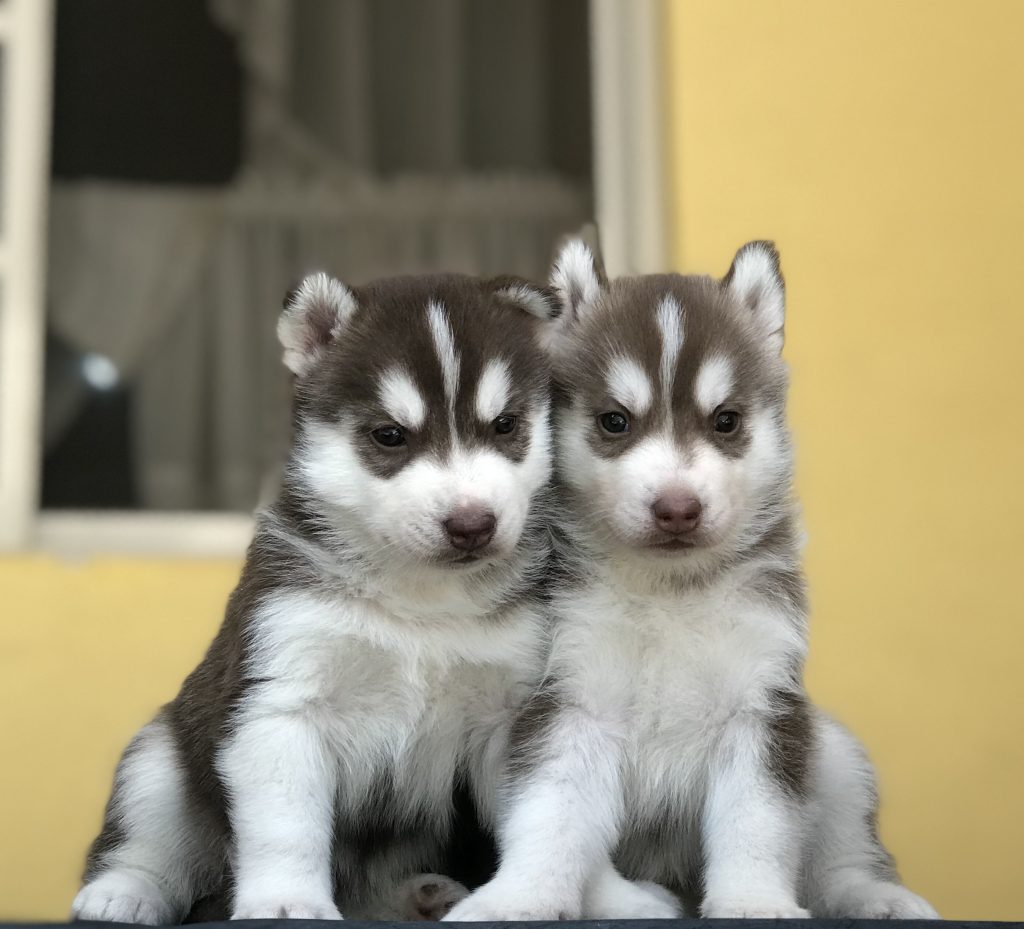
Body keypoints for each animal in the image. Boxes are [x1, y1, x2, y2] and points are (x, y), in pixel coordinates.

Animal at [74, 268, 561, 921]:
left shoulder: (507, 713)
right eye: (389, 436)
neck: (420, 601)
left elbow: (543, 814)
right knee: (147, 843)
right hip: (158, 757)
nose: (472, 525)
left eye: (505, 425)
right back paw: (122, 891)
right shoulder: (282, 701)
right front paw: (285, 902)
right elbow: (287, 827)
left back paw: (417, 897)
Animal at [444, 239, 937, 921]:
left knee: (841, 857)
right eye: (615, 422)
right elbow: (549, 816)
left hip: (834, 753)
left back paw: (874, 895)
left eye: (725, 421)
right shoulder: (571, 701)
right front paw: (515, 899)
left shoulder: (762, 707)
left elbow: (757, 823)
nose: (677, 508)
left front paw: (754, 901)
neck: (669, 595)